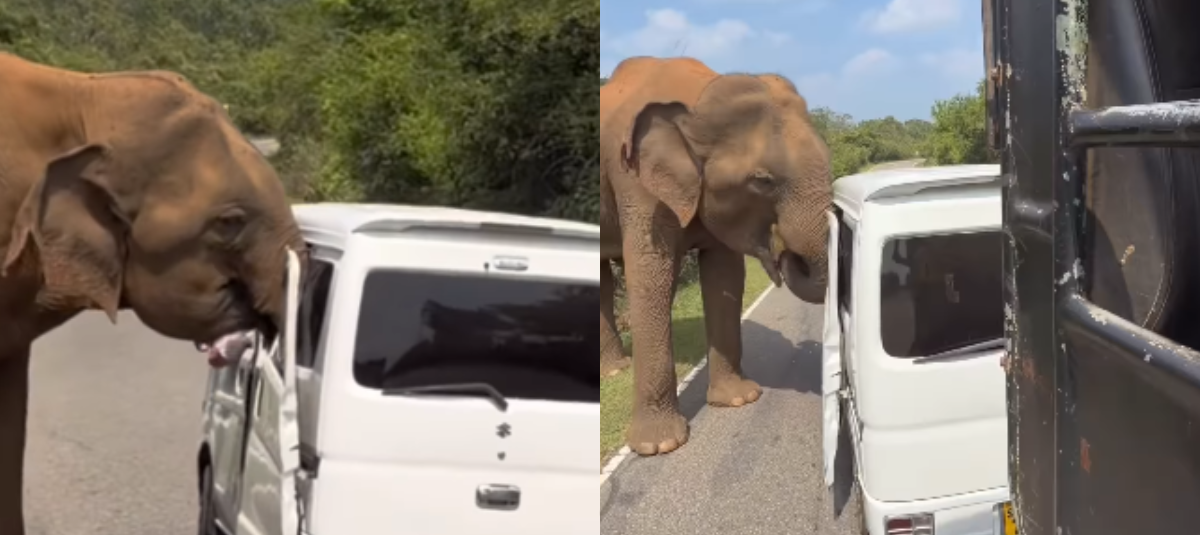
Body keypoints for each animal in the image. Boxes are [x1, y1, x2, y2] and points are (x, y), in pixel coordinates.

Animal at [599, 56, 833, 456]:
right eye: (762, 180)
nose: (784, 255)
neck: (698, 97)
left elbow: (725, 274)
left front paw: (739, 400)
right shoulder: (634, 180)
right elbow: (650, 271)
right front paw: (659, 446)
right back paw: (615, 372)